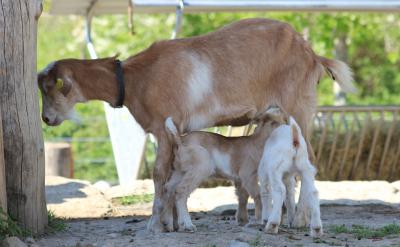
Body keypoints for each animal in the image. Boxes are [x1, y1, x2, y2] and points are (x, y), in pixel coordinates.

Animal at [37, 18, 354, 233]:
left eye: (51, 89)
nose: (46, 119)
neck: (137, 78)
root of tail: (312, 54)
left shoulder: (164, 127)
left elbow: (159, 175)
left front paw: (156, 224)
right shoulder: (168, 132)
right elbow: (170, 175)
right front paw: (173, 222)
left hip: (299, 108)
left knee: (308, 161)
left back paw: (299, 219)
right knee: (293, 172)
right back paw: (290, 219)